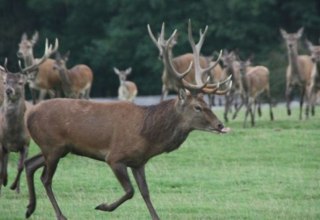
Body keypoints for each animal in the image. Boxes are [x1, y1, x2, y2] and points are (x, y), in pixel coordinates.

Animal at [23, 20, 231, 220]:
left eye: (206, 103)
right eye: (197, 107)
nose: (220, 124)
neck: (148, 136)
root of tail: (29, 114)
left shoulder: (139, 162)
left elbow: (145, 192)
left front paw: (155, 216)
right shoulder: (114, 157)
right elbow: (130, 191)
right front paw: (103, 206)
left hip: (57, 148)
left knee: (30, 164)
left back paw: (30, 208)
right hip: (53, 146)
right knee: (46, 178)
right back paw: (59, 214)